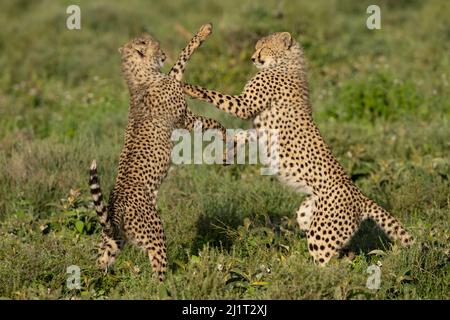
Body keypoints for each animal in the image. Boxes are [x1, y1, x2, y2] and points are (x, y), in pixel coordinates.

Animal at [89, 23, 227, 282]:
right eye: (157, 47)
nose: (163, 55)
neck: (139, 77)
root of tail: (115, 209)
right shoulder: (186, 119)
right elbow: (214, 122)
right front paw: (225, 144)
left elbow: (180, 63)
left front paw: (203, 31)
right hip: (154, 233)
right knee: (157, 273)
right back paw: (171, 284)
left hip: (112, 244)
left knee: (98, 266)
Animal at [181, 31, 414, 264]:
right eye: (257, 47)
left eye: (264, 48)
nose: (252, 58)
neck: (286, 63)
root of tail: (361, 196)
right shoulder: (260, 130)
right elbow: (242, 135)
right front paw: (227, 153)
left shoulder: (245, 105)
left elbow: (216, 96)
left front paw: (189, 88)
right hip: (308, 215)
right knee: (340, 251)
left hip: (321, 233)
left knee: (327, 263)